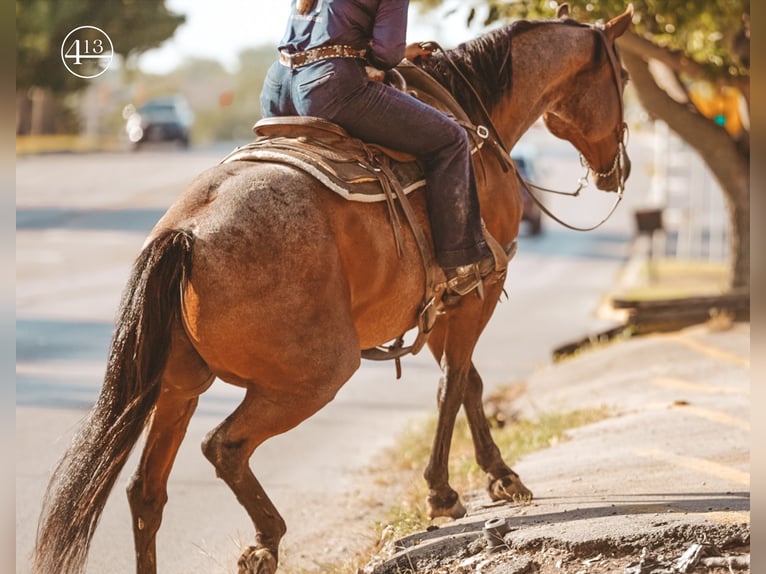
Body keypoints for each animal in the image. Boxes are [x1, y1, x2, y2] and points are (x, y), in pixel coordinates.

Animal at [34, 5, 636, 574]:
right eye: (624, 75)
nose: (619, 169)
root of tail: (186, 233)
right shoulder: (477, 292)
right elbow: (454, 383)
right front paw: (445, 492)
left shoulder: (443, 304)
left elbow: (470, 382)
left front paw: (498, 476)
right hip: (318, 374)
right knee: (223, 446)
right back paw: (266, 540)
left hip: (180, 385)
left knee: (146, 493)